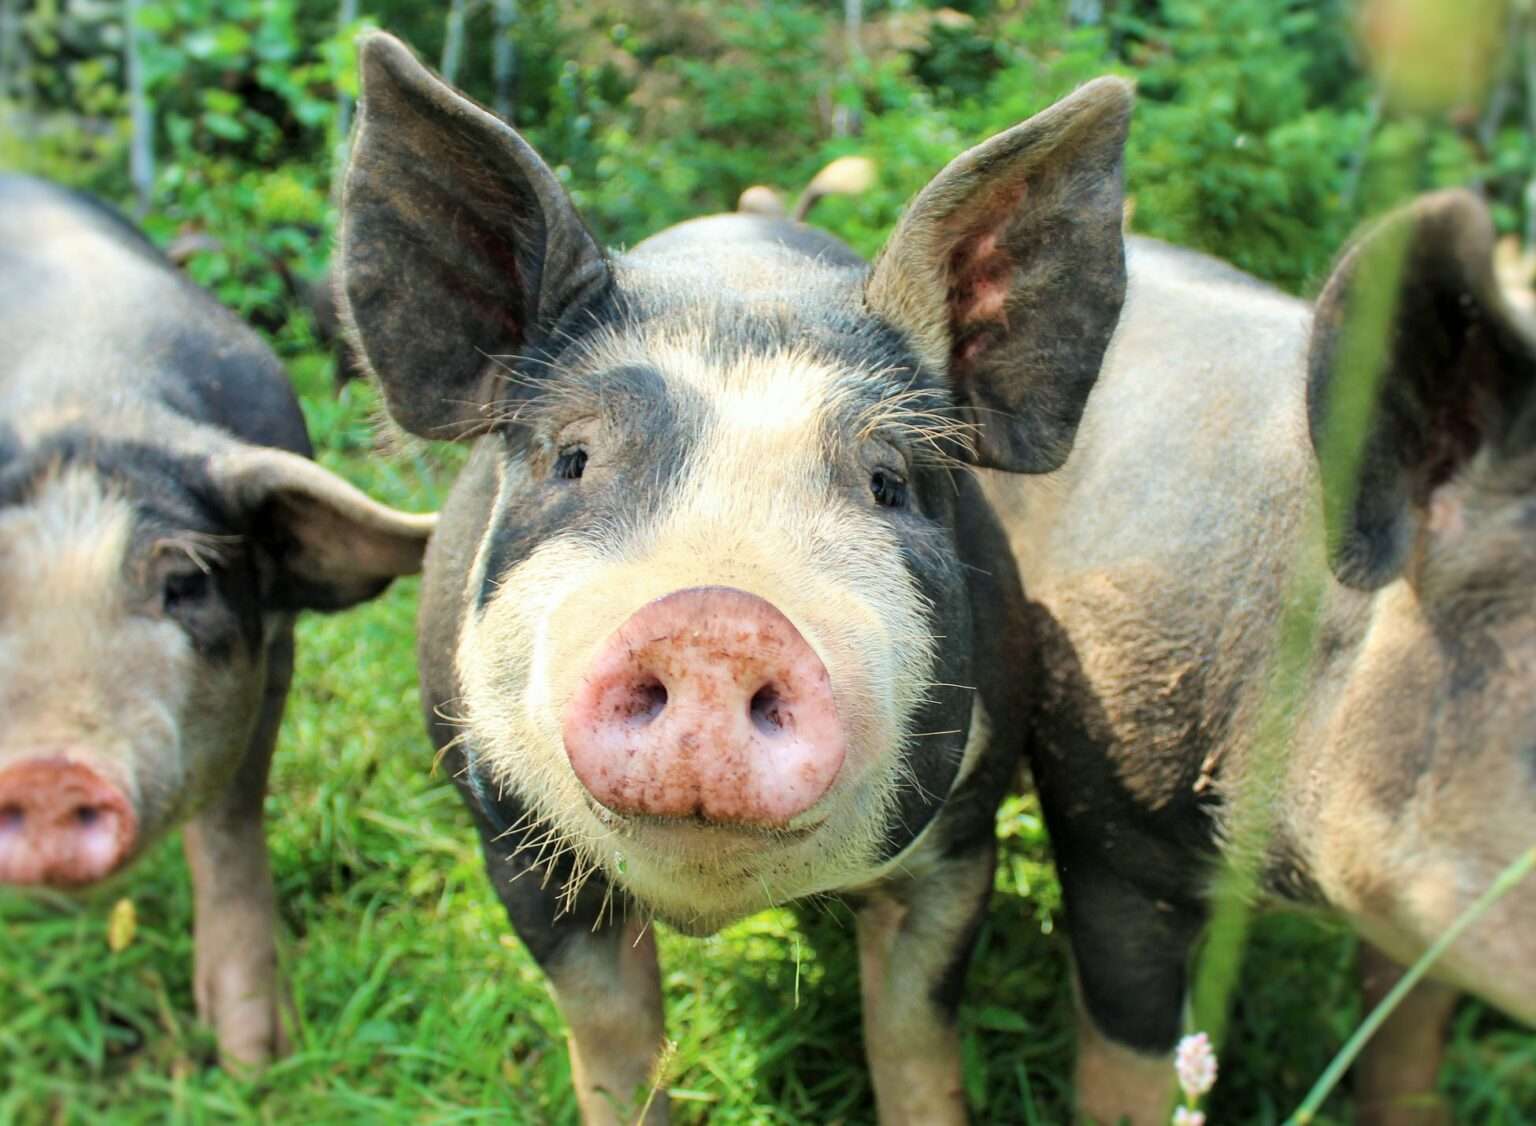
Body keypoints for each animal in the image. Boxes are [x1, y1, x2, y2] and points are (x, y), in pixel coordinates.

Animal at [0, 174, 435, 1067]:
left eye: (185, 583)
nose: (50, 772)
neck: (87, 397)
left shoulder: (273, 642)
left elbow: (231, 827)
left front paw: (254, 1061)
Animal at [336, 31, 1131, 1125]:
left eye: (889, 483)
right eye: (573, 459)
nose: (716, 620)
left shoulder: (963, 840)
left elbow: (914, 1035)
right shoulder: (504, 833)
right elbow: (612, 1041)